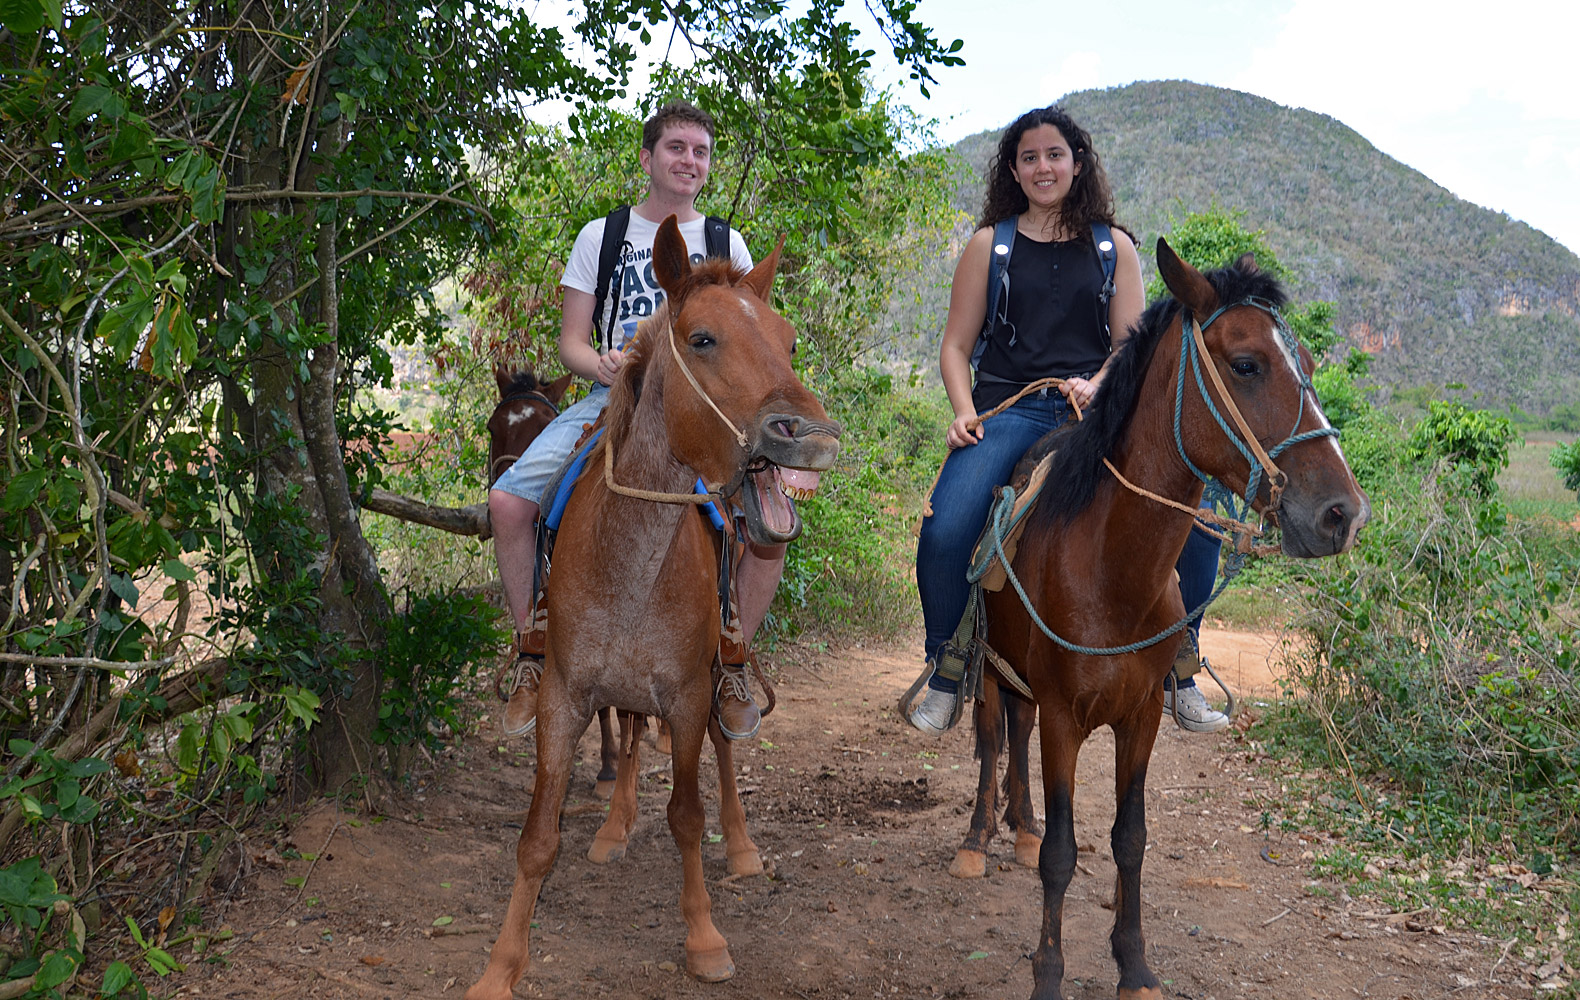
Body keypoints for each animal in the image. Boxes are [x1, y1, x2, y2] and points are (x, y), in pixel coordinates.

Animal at [464, 218, 840, 998]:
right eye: (702, 338)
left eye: (789, 342)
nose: (814, 440)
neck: (630, 558)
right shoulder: (566, 694)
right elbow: (538, 835)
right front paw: (502, 964)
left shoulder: (689, 697)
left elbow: (688, 816)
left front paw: (703, 937)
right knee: (634, 732)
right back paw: (614, 827)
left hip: (720, 665)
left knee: (724, 746)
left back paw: (742, 845)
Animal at [960, 241, 1371, 998]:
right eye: (1247, 364)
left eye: (1307, 361)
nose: (1342, 514)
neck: (1108, 571)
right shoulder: (1064, 716)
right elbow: (1062, 853)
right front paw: (1049, 972)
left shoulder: (1142, 714)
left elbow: (1131, 838)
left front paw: (1135, 964)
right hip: (989, 670)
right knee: (991, 738)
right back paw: (977, 839)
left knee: (1014, 738)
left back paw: (1019, 824)